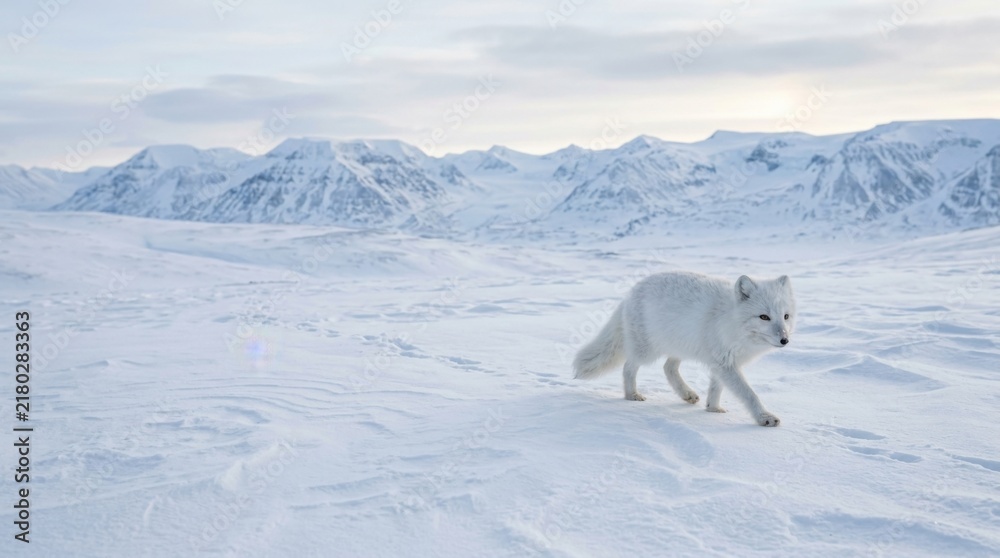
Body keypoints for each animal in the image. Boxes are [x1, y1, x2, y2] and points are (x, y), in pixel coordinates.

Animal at [572, 272, 795, 426]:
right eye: (764, 317)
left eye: (785, 316)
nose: (785, 340)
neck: (731, 320)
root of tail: (630, 293)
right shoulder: (725, 364)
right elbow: (749, 394)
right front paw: (764, 417)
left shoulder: (720, 363)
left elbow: (716, 389)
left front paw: (713, 409)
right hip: (647, 351)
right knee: (629, 367)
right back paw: (632, 395)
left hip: (680, 347)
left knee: (668, 368)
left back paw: (687, 394)